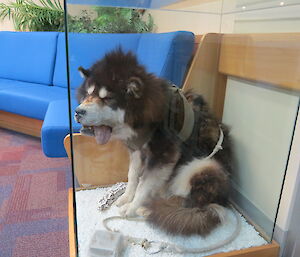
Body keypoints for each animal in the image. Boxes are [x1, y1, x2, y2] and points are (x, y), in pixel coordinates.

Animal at [74, 48, 233, 236]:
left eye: (107, 99)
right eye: (87, 94)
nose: (77, 112)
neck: (145, 115)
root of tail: (220, 200)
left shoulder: (162, 156)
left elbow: (144, 184)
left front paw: (132, 207)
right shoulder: (137, 151)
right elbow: (133, 177)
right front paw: (126, 197)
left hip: (201, 166)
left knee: (187, 202)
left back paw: (149, 209)